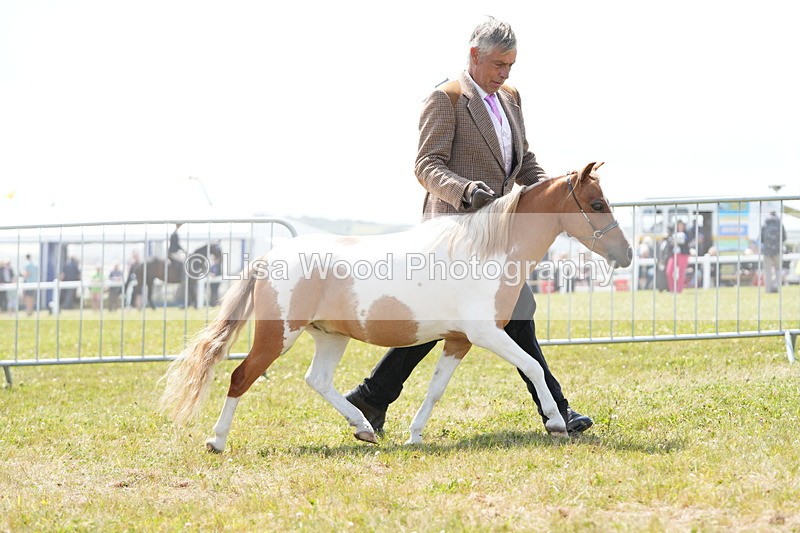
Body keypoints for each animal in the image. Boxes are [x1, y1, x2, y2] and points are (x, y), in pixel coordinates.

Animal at [160, 162, 632, 452]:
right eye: (596, 204)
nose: (626, 254)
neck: (487, 252)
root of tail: (268, 257)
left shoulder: (459, 340)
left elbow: (436, 388)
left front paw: (415, 435)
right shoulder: (485, 334)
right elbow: (533, 366)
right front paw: (556, 422)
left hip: (329, 336)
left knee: (317, 380)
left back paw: (364, 428)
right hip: (279, 333)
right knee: (241, 376)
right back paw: (217, 441)